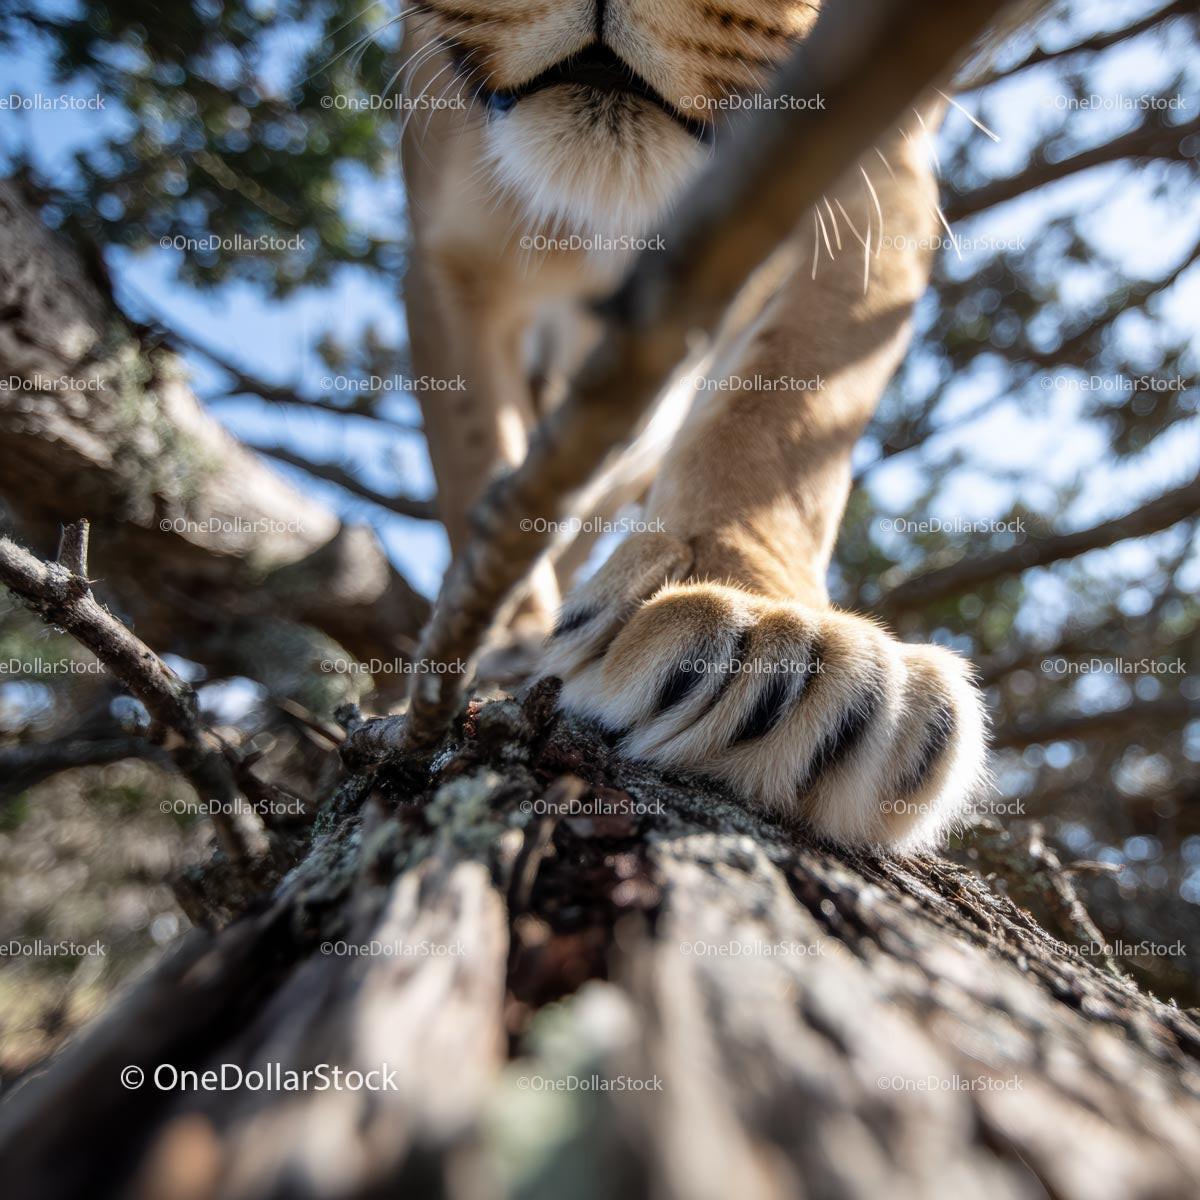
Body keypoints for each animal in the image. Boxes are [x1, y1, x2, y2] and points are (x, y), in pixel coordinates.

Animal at [396, 0, 987, 850]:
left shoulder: (881, 159)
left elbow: (781, 413)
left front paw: (765, 629)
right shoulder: (449, 248)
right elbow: (481, 464)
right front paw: (499, 631)